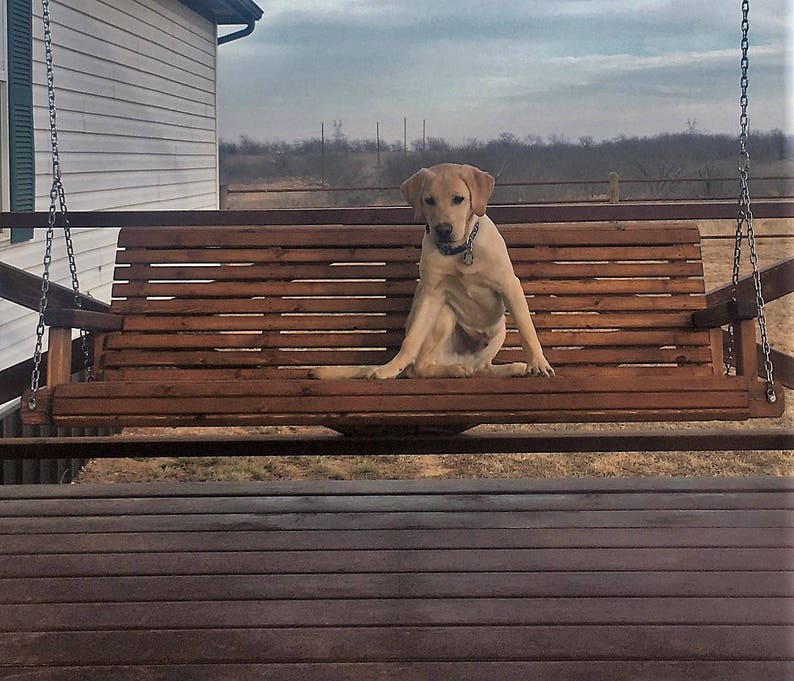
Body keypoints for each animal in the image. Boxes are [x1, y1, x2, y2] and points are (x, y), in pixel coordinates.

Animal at [310, 163, 552, 380]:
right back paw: (455, 369)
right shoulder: (431, 293)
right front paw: (389, 368)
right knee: (419, 366)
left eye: (459, 199)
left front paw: (538, 363)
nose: (444, 230)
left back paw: (510, 368)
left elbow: (527, 329)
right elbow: (411, 340)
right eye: (429, 200)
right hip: (444, 313)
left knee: (481, 366)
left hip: (498, 330)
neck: (460, 249)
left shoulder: (509, 285)